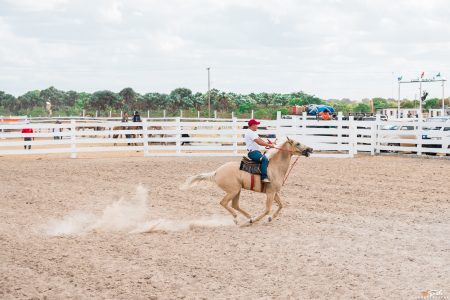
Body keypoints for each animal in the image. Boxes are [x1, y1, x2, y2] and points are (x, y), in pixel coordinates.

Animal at [183, 138, 312, 225]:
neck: (275, 167)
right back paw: (238, 219)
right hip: (233, 191)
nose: (310, 149)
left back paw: (248, 217)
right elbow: (267, 209)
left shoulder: (274, 192)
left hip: (237, 190)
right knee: (224, 203)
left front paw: (270, 218)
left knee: (234, 205)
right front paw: (257, 220)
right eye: (297, 143)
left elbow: (281, 205)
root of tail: (217, 172)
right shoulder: (270, 193)